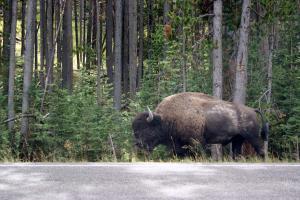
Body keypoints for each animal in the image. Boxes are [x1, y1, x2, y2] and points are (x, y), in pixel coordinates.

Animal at [132, 92, 268, 159]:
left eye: (146, 128)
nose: (138, 145)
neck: (165, 119)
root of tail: (252, 110)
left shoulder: (195, 141)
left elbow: (197, 153)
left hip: (253, 137)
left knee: (261, 149)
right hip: (238, 139)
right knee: (237, 153)